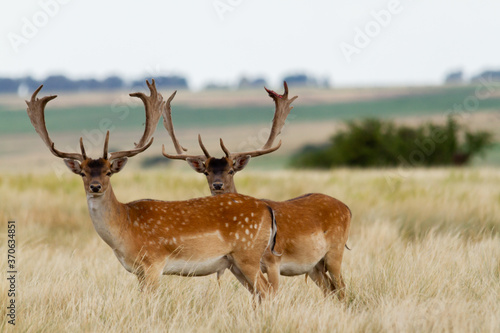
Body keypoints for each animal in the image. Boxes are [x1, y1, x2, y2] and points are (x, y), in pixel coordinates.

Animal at [25, 81, 280, 298]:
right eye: (83, 173)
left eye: (108, 171)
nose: (95, 186)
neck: (125, 229)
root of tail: (267, 208)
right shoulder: (138, 271)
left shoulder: (153, 263)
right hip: (235, 262)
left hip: (248, 254)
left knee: (268, 291)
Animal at [162, 82, 350, 298]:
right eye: (206, 172)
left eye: (231, 170)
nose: (217, 185)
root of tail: (347, 208)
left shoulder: (274, 261)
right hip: (314, 266)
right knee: (331, 290)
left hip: (335, 252)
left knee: (342, 288)